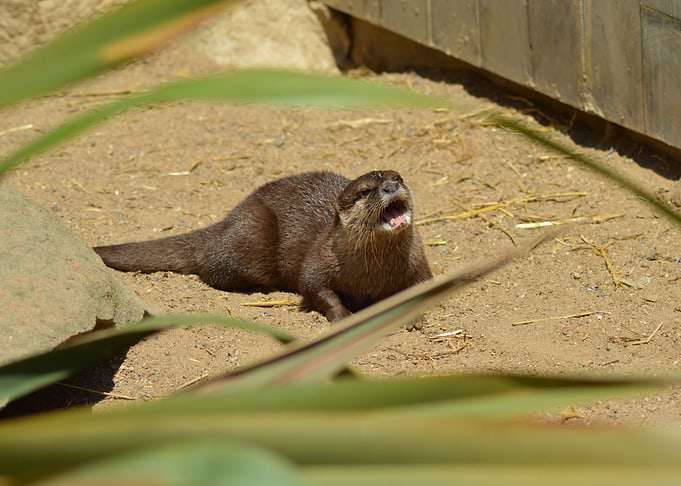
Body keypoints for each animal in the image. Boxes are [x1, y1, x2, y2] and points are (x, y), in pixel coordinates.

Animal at [94, 170, 432, 323]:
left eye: (398, 177)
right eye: (365, 191)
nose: (391, 186)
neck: (371, 275)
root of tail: (230, 218)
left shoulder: (419, 264)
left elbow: (423, 286)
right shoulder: (318, 261)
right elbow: (315, 288)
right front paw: (342, 314)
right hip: (252, 235)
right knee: (212, 267)